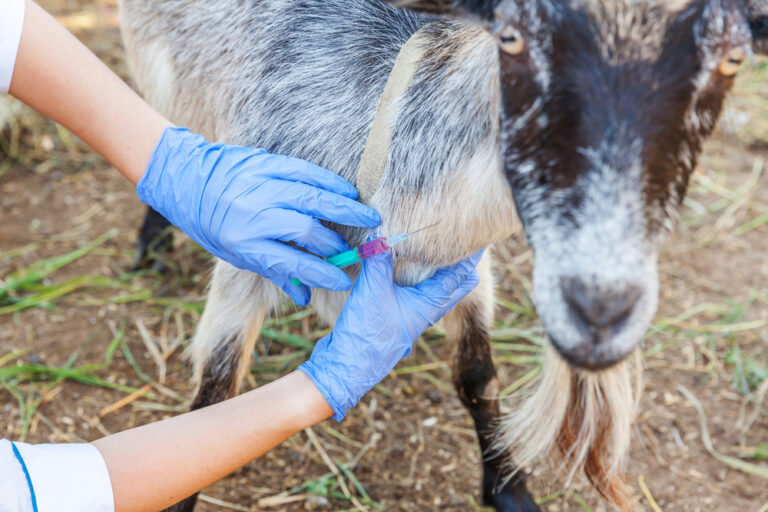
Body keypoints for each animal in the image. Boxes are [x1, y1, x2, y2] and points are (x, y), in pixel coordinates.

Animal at [118, 0, 768, 510]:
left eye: (731, 62)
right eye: (515, 40)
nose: (600, 307)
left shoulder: (463, 268)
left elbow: (477, 376)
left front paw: (510, 489)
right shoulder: (252, 257)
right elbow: (213, 396)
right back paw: (157, 231)